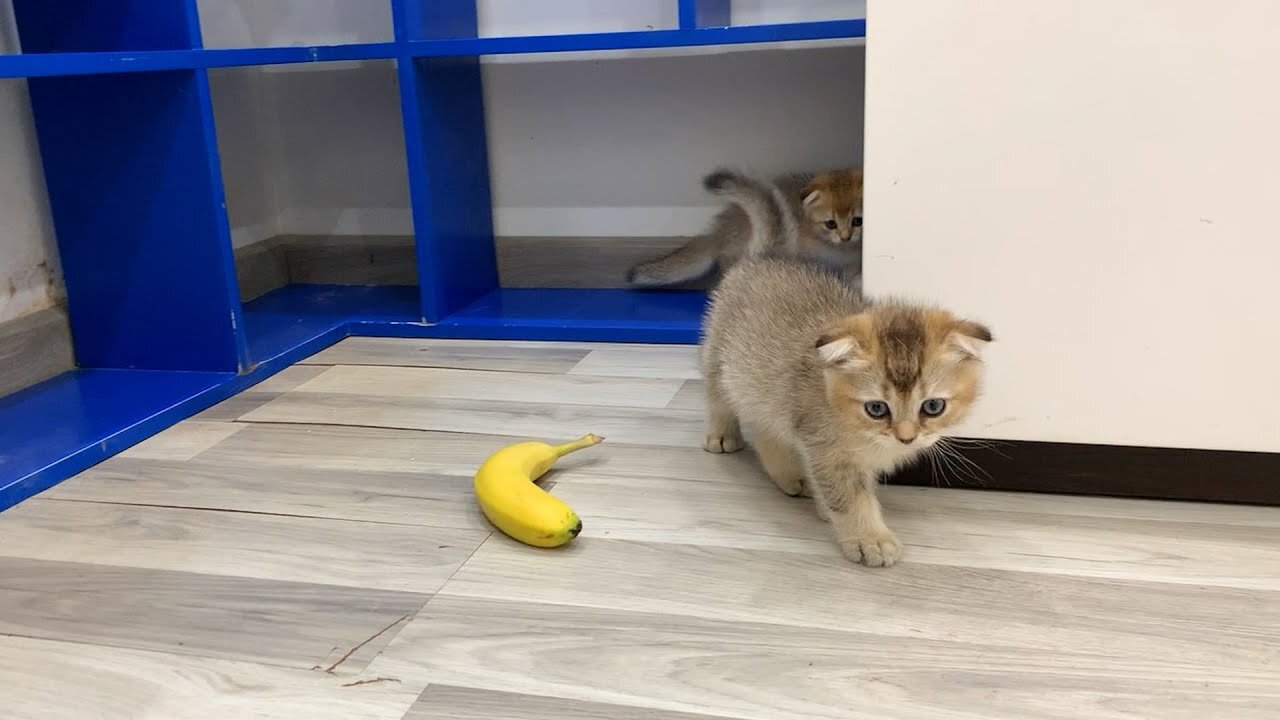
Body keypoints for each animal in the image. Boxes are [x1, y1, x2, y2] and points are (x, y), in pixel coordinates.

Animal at [701, 254, 988, 563]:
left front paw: (826, 509)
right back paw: (722, 435)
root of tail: (758, 261)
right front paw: (869, 539)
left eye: (933, 406)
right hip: (721, 360)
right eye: (877, 408)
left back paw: (790, 477)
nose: (906, 437)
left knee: (767, 432)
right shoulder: (826, 449)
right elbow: (850, 498)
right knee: (718, 397)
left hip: (766, 394)